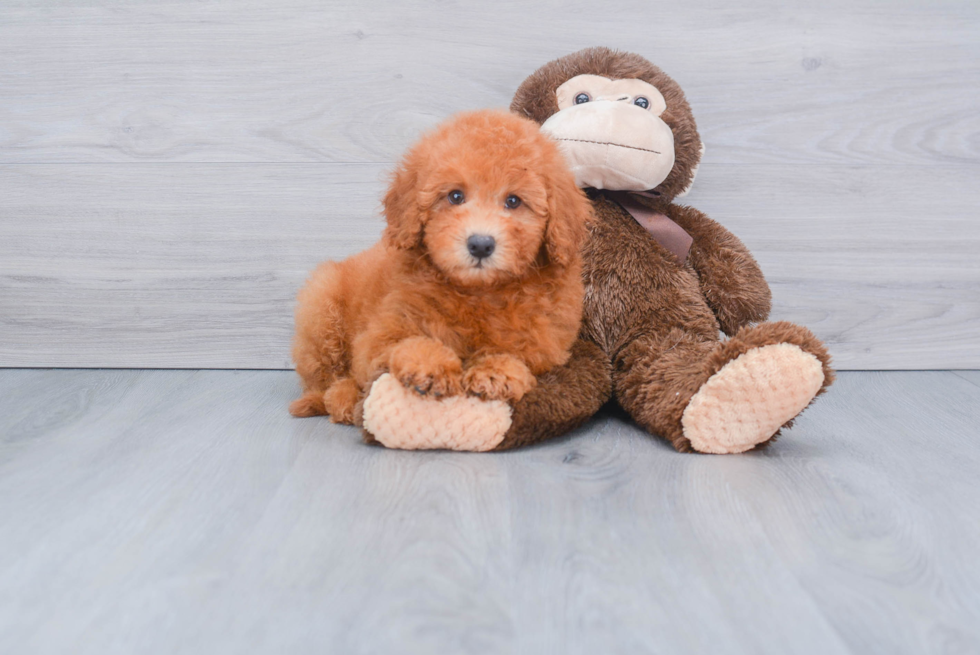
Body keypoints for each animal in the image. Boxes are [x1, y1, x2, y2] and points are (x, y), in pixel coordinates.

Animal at [290, 109, 588, 422]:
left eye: (513, 201)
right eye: (455, 196)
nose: (480, 244)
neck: (478, 294)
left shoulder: (546, 342)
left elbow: (522, 355)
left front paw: (496, 372)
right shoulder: (378, 336)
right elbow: (404, 343)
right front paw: (430, 365)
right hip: (321, 308)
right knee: (327, 381)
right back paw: (342, 398)